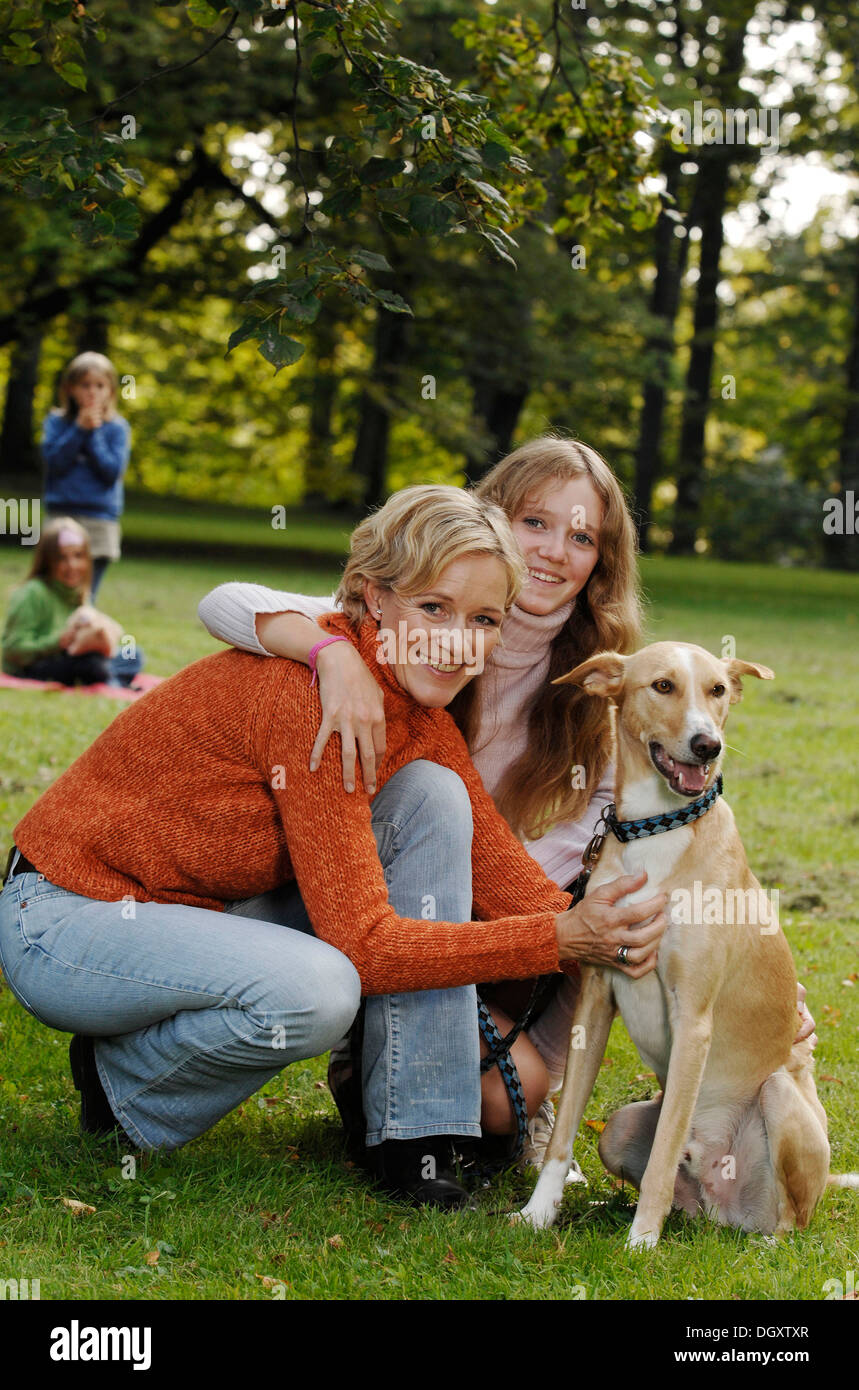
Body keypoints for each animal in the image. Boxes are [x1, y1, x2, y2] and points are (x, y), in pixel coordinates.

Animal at [514, 647, 850, 1251]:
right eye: (663, 686)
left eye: (717, 690)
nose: (707, 745)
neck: (656, 828)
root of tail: (721, 1209)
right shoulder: (594, 1003)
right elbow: (563, 1135)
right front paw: (538, 1214)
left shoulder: (692, 1020)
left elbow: (663, 1158)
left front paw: (641, 1244)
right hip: (620, 1127)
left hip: (778, 1096)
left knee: (788, 1221)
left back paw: (757, 1240)